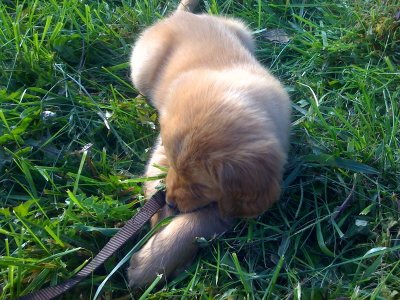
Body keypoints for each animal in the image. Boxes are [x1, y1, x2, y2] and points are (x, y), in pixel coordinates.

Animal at [127, 0, 290, 288]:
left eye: (200, 185)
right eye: (173, 164)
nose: (170, 202)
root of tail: (183, 16)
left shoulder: (229, 204)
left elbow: (193, 225)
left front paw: (150, 264)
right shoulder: (162, 147)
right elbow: (155, 176)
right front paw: (159, 222)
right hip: (142, 67)